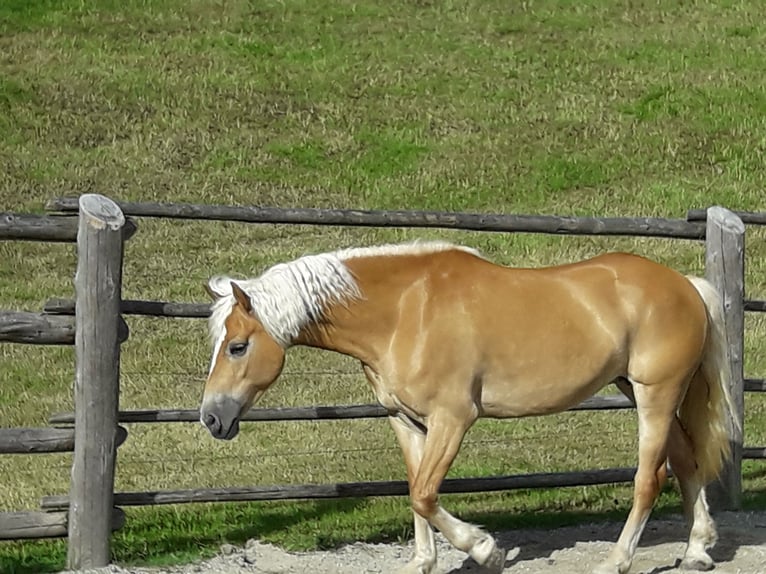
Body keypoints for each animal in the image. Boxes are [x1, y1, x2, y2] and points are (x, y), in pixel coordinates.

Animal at [198, 243, 736, 574]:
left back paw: (616, 560)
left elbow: (425, 494)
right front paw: (422, 562)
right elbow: (414, 489)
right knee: (686, 461)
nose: (211, 418)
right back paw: (697, 550)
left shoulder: (452, 419)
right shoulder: (405, 421)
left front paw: (485, 549)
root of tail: (685, 284)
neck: (403, 314)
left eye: (238, 347)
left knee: (651, 476)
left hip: (656, 394)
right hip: (642, 391)